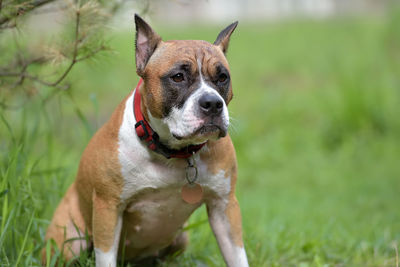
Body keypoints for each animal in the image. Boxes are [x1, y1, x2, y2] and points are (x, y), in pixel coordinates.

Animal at [44, 15, 250, 267]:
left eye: (222, 77)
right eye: (178, 77)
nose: (212, 103)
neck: (174, 153)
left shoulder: (224, 207)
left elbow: (237, 256)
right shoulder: (108, 209)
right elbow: (105, 257)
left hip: (181, 238)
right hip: (70, 242)